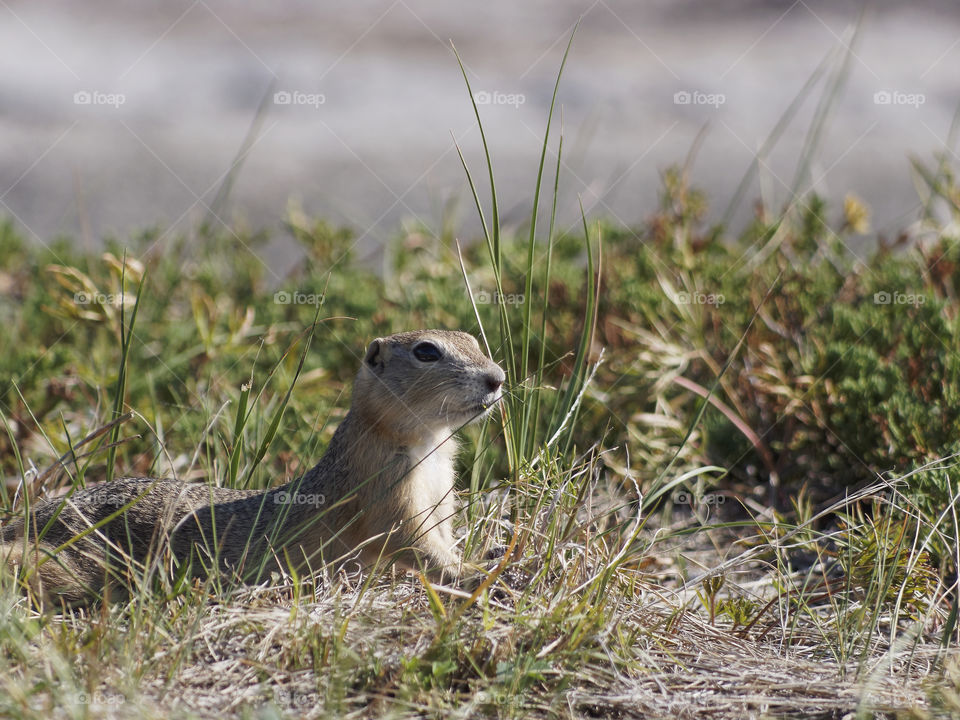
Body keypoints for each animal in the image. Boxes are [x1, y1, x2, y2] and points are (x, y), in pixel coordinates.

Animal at [0, 330, 506, 604]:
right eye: (426, 351)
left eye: (474, 340)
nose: (497, 378)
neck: (429, 444)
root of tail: (27, 517)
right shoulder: (387, 492)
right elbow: (416, 545)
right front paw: (477, 573)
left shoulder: (439, 493)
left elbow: (442, 537)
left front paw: (488, 552)